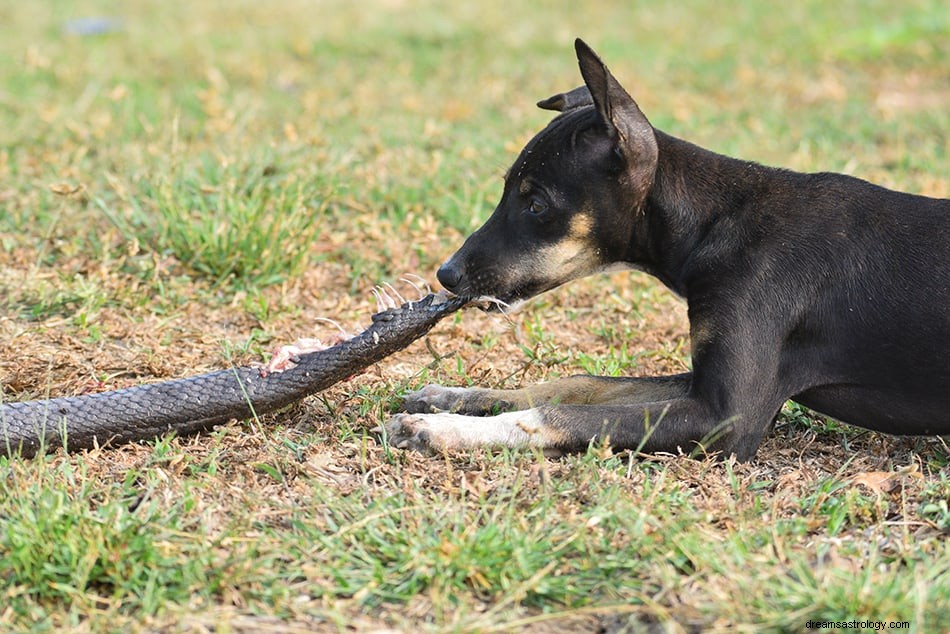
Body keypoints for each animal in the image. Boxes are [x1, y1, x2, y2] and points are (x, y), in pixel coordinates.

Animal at [386, 39, 950, 460]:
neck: (719, 224)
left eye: (537, 203)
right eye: (507, 189)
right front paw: (452, 397)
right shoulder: (702, 383)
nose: (446, 275)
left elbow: (565, 414)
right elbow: (581, 384)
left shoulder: (727, 415)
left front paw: (441, 429)